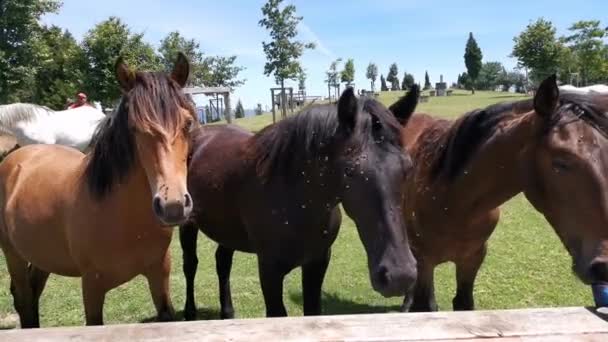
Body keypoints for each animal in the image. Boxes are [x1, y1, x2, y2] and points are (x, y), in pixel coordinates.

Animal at [0, 52, 196, 326]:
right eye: (134, 128)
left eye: (188, 123)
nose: (173, 207)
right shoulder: (92, 287)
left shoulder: (159, 274)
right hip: (12, 254)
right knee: (24, 298)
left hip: (41, 257)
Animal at [178, 87, 420, 318]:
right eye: (349, 171)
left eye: (408, 168)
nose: (400, 275)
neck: (295, 201)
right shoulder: (269, 272)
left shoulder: (317, 263)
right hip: (188, 225)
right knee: (190, 265)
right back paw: (190, 312)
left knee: (222, 263)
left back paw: (227, 312)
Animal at [396, 75, 608, 312]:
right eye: (560, 161)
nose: (603, 267)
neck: (451, 200)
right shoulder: (425, 261)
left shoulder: (472, 258)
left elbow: (463, 304)